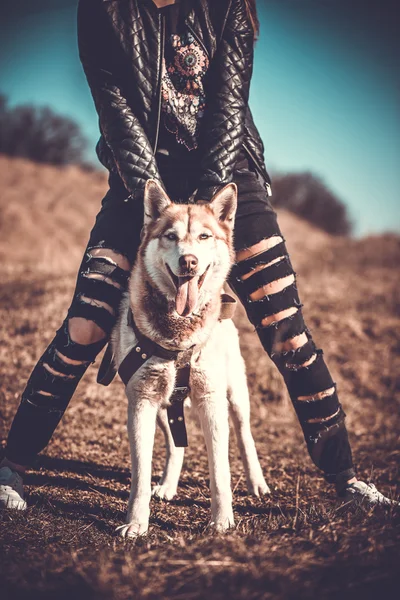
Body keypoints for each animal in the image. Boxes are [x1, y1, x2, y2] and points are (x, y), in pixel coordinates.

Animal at [112, 179, 268, 540]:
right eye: (170, 236)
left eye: (204, 237)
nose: (189, 262)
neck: (178, 333)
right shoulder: (141, 400)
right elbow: (140, 474)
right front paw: (137, 522)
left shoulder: (211, 399)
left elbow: (220, 470)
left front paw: (222, 521)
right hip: (163, 407)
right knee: (176, 444)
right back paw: (168, 485)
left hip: (235, 396)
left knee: (245, 435)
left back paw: (257, 482)